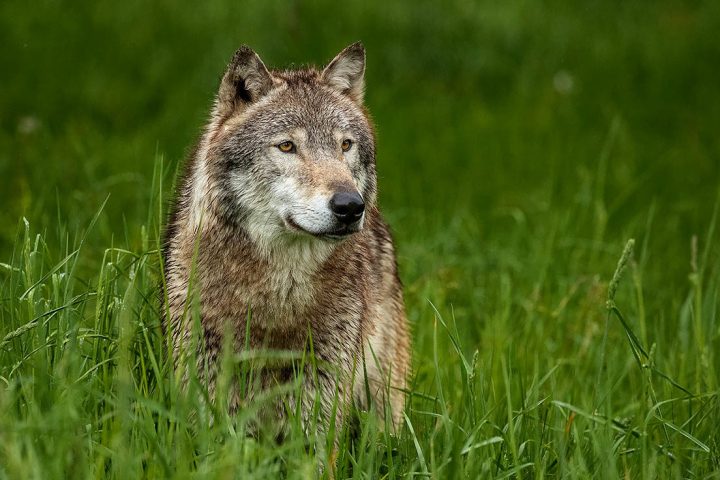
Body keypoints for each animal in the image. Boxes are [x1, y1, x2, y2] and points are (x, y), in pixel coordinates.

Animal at [163, 42, 410, 438]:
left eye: (345, 145)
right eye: (287, 146)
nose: (350, 206)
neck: (280, 292)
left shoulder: (323, 383)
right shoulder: (204, 372)